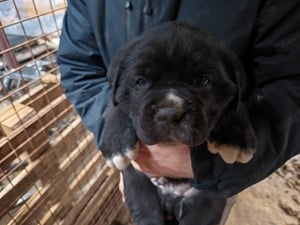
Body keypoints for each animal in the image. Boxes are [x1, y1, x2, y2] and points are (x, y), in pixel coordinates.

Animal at [101, 21, 255, 225]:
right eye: (141, 82)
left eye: (203, 81)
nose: (169, 113)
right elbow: (114, 104)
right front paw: (115, 146)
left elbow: (238, 104)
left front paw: (234, 139)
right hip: (138, 186)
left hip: (208, 200)